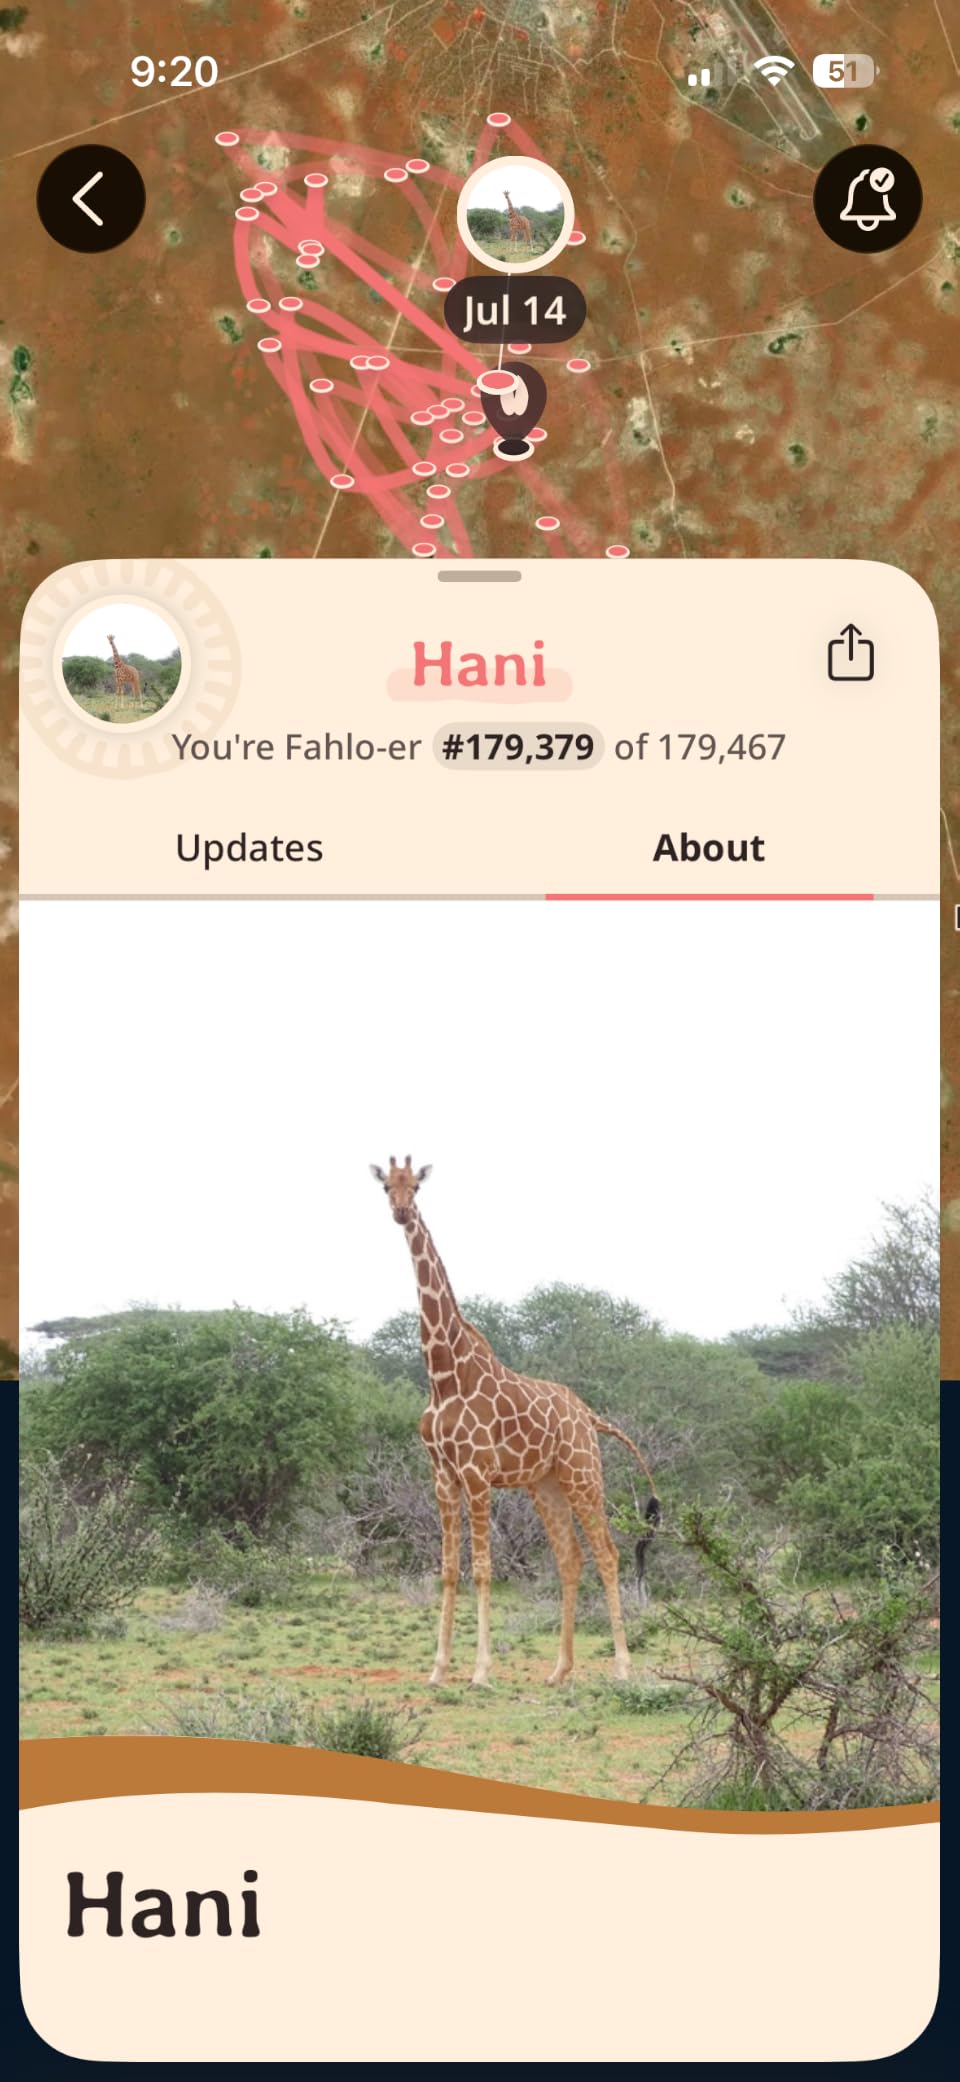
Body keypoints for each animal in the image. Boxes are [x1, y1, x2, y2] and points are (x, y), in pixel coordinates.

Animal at [371, 1158, 660, 1688]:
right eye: (386, 1187)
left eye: (415, 1186)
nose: (400, 1212)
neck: (444, 1374)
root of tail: (589, 1414)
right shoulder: (443, 1476)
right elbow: (448, 1569)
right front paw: (438, 1670)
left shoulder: (477, 1474)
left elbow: (484, 1569)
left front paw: (481, 1672)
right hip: (545, 1484)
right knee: (571, 1559)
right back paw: (560, 1670)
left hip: (583, 1474)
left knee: (607, 1553)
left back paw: (622, 1668)